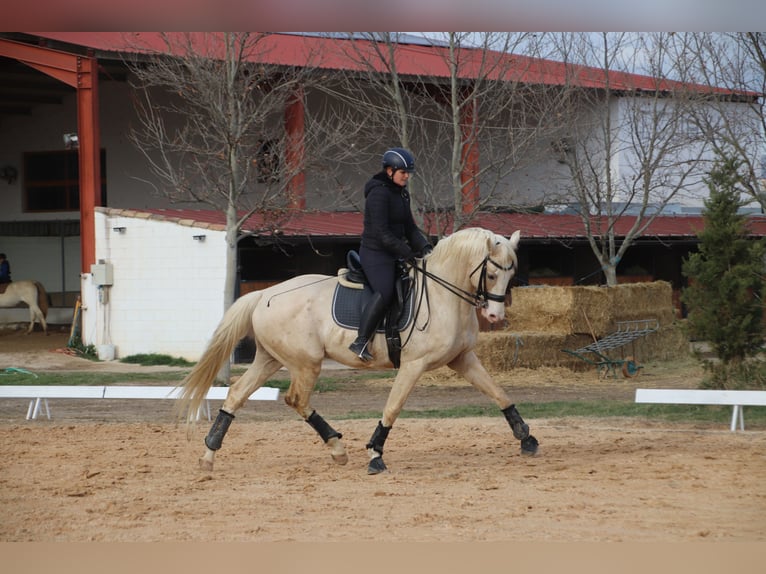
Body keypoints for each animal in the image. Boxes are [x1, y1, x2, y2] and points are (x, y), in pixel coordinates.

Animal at [177, 227, 538, 475]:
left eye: (512, 273)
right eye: (491, 273)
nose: (496, 316)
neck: (442, 294)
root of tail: (265, 294)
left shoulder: (463, 359)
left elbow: (498, 393)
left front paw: (526, 438)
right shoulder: (414, 364)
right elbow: (393, 407)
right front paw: (375, 453)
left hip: (271, 360)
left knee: (237, 394)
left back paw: (209, 455)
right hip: (306, 363)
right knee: (297, 399)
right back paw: (337, 448)